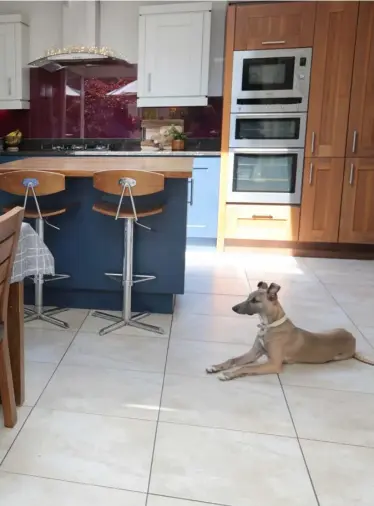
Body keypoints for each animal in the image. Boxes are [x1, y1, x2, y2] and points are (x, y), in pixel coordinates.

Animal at [206, 278, 372, 382]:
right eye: (248, 297)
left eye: (255, 301)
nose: (233, 308)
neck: (269, 326)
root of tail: (353, 338)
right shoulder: (254, 353)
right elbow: (233, 360)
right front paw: (216, 367)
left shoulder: (274, 364)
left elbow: (246, 367)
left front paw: (228, 374)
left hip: (338, 356)